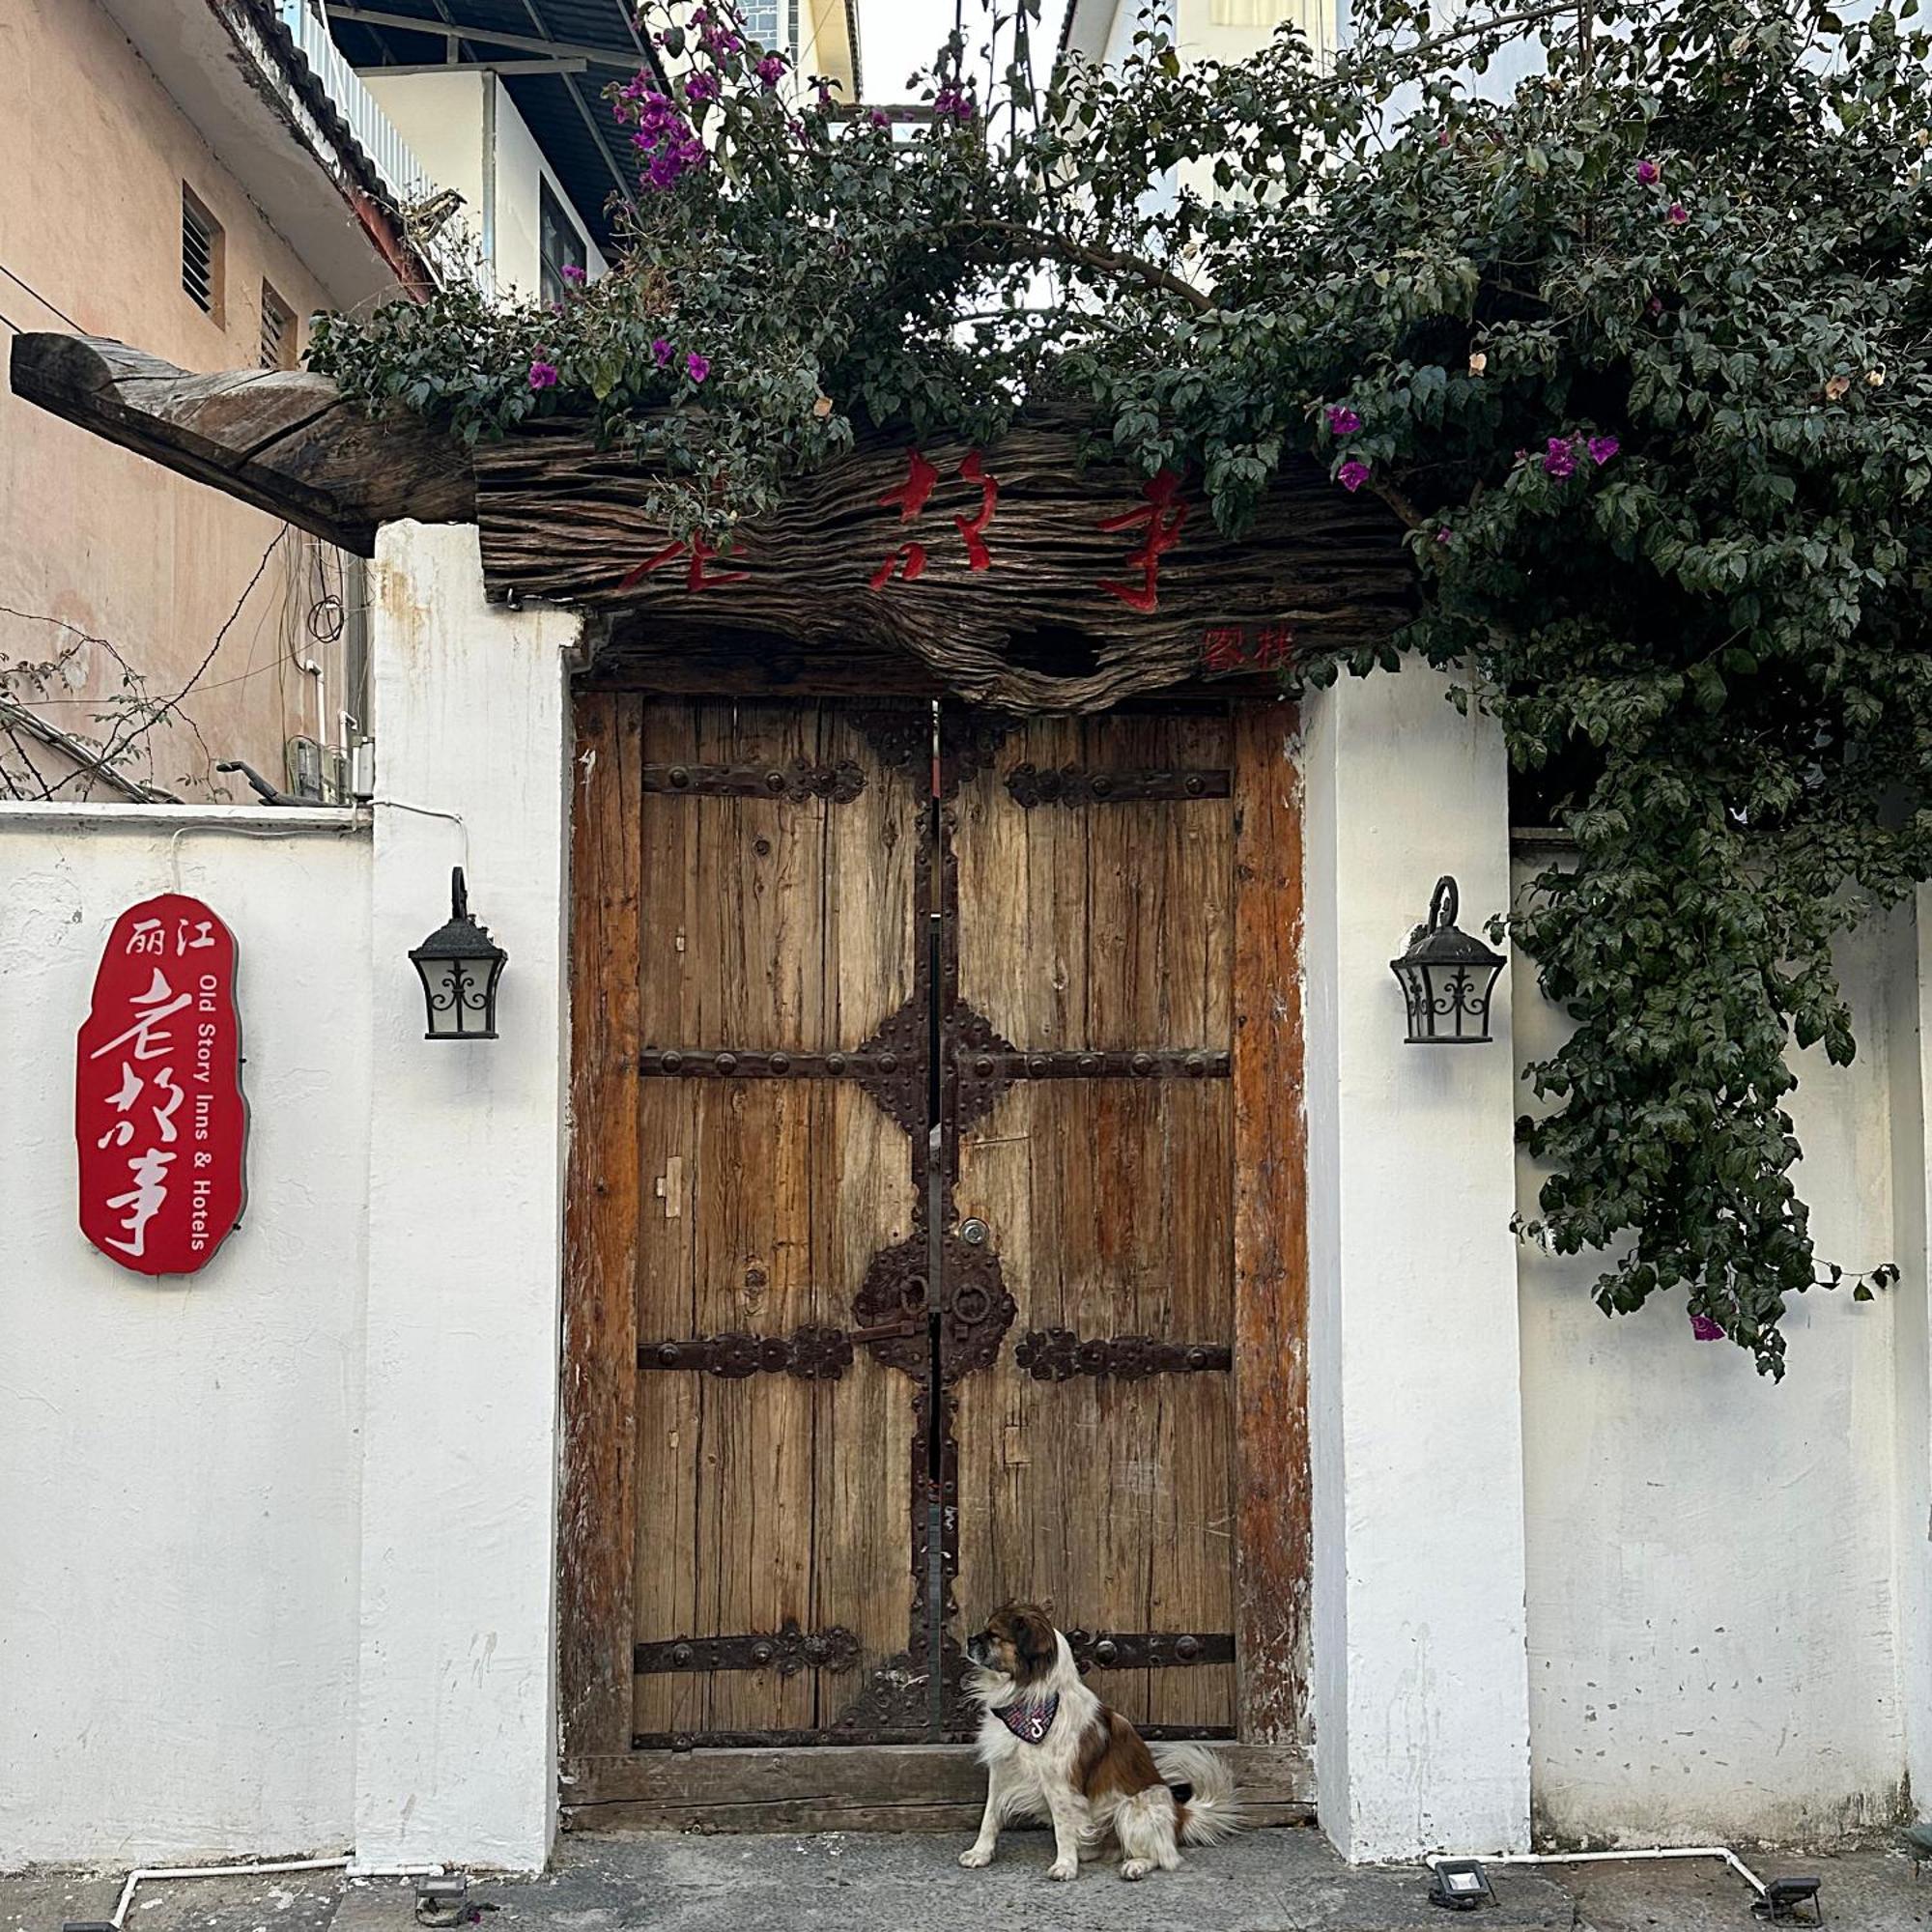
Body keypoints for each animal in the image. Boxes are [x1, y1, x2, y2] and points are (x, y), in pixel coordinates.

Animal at [958, 1600, 1244, 1886]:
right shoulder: (1001, 1771)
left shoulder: (1061, 1784)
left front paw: (1065, 1865)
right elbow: (990, 1816)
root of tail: (1180, 1815)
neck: (1027, 1701)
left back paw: (1135, 1865)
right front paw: (980, 1853)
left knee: (1162, 1856)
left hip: (1134, 1807)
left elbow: (1063, 1828)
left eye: (994, 1635)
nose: (969, 1639)